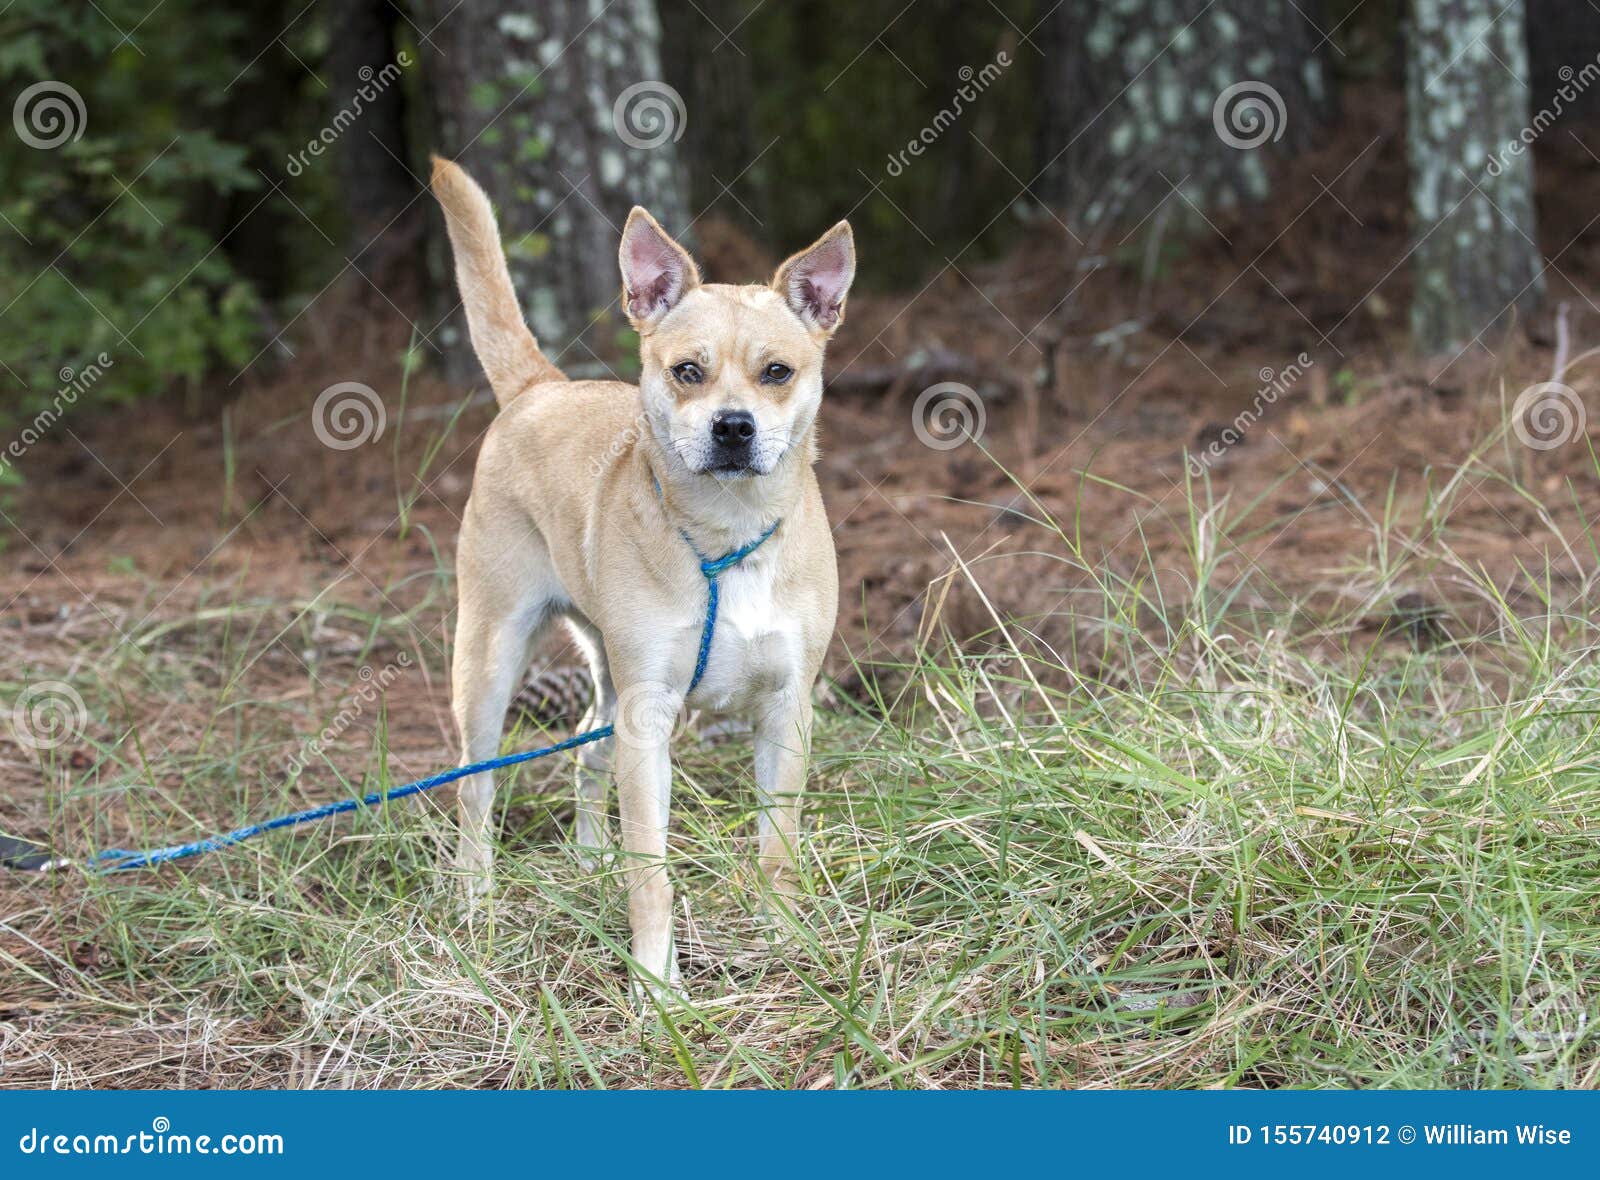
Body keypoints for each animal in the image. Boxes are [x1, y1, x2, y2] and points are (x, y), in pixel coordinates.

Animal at [425, 151, 851, 991]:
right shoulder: (649, 717)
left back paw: (589, 860)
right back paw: (476, 900)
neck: (726, 534)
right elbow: (650, 869)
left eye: (777, 372)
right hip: (490, 659)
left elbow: (778, 848)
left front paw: (784, 937)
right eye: (686, 371)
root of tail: (541, 388)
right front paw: (658, 985)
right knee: (474, 781)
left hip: (605, 672)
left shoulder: (786, 709)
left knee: (587, 742)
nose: (733, 427)